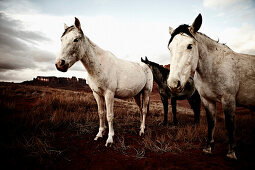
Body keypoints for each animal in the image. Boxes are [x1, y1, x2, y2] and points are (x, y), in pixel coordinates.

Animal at [55, 17, 152, 147]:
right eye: (61, 39)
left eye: (76, 39)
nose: (59, 64)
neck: (99, 66)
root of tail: (146, 66)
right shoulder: (97, 93)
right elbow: (101, 113)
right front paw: (99, 134)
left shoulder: (109, 94)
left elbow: (109, 115)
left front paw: (110, 138)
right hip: (137, 94)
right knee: (141, 109)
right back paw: (141, 127)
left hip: (146, 92)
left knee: (145, 110)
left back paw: (142, 130)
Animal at [166, 13, 255, 160]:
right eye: (170, 48)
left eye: (189, 46)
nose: (173, 84)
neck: (214, 67)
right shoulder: (207, 100)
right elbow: (211, 122)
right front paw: (208, 148)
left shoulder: (229, 100)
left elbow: (230, 124)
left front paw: (231, 152)